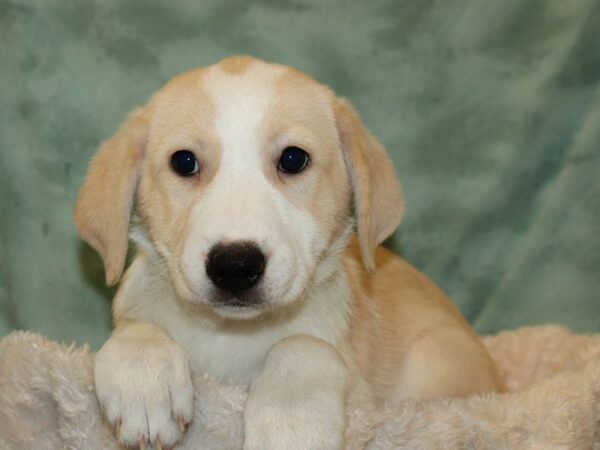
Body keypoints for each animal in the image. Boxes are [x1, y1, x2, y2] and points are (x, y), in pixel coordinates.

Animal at [76, 56, 506, 450]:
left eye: (293, 159)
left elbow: (301, 345)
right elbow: (135, 329)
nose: (235, 266)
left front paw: (290, 424)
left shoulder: (358, 387)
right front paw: (143, 378)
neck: (233, 335)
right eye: (184, 162)